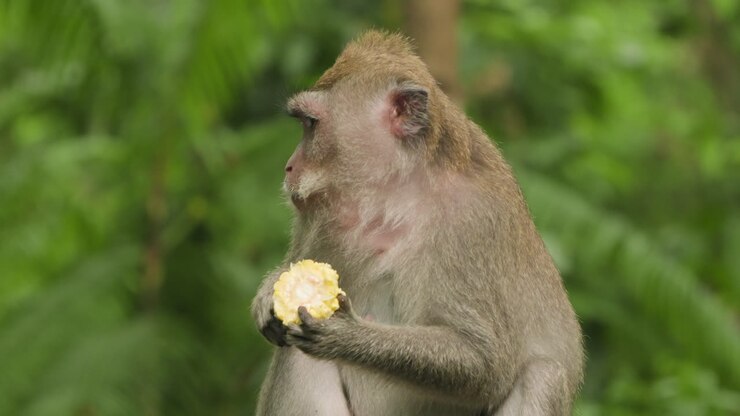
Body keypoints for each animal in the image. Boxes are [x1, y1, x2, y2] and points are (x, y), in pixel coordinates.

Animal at [251, 30, 584, 416]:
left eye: (311, 124)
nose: (289, 167)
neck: (395, 197)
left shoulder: (471, 223)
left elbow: (487, 364)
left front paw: (345, 335)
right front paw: (269, 294)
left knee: (544, 375)